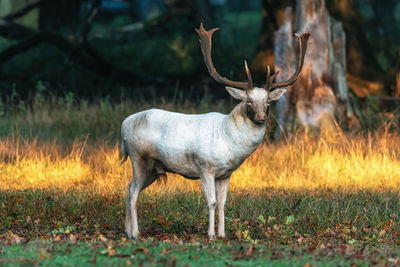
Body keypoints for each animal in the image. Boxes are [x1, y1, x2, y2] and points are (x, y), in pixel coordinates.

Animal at [119, 23, 310, 241]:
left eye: (269, 102)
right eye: (248, 101)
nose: (261, 117)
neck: (229, 143)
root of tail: (123, 125)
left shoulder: (225, 174)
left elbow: (222, 203)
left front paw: (222, 234)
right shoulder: (205, 167)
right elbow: (211, 202)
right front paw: (210, 235)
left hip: (153, 168)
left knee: (128, 187)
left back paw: (127, 231)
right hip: (138, 158)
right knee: (133, 191)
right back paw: (135, 233)